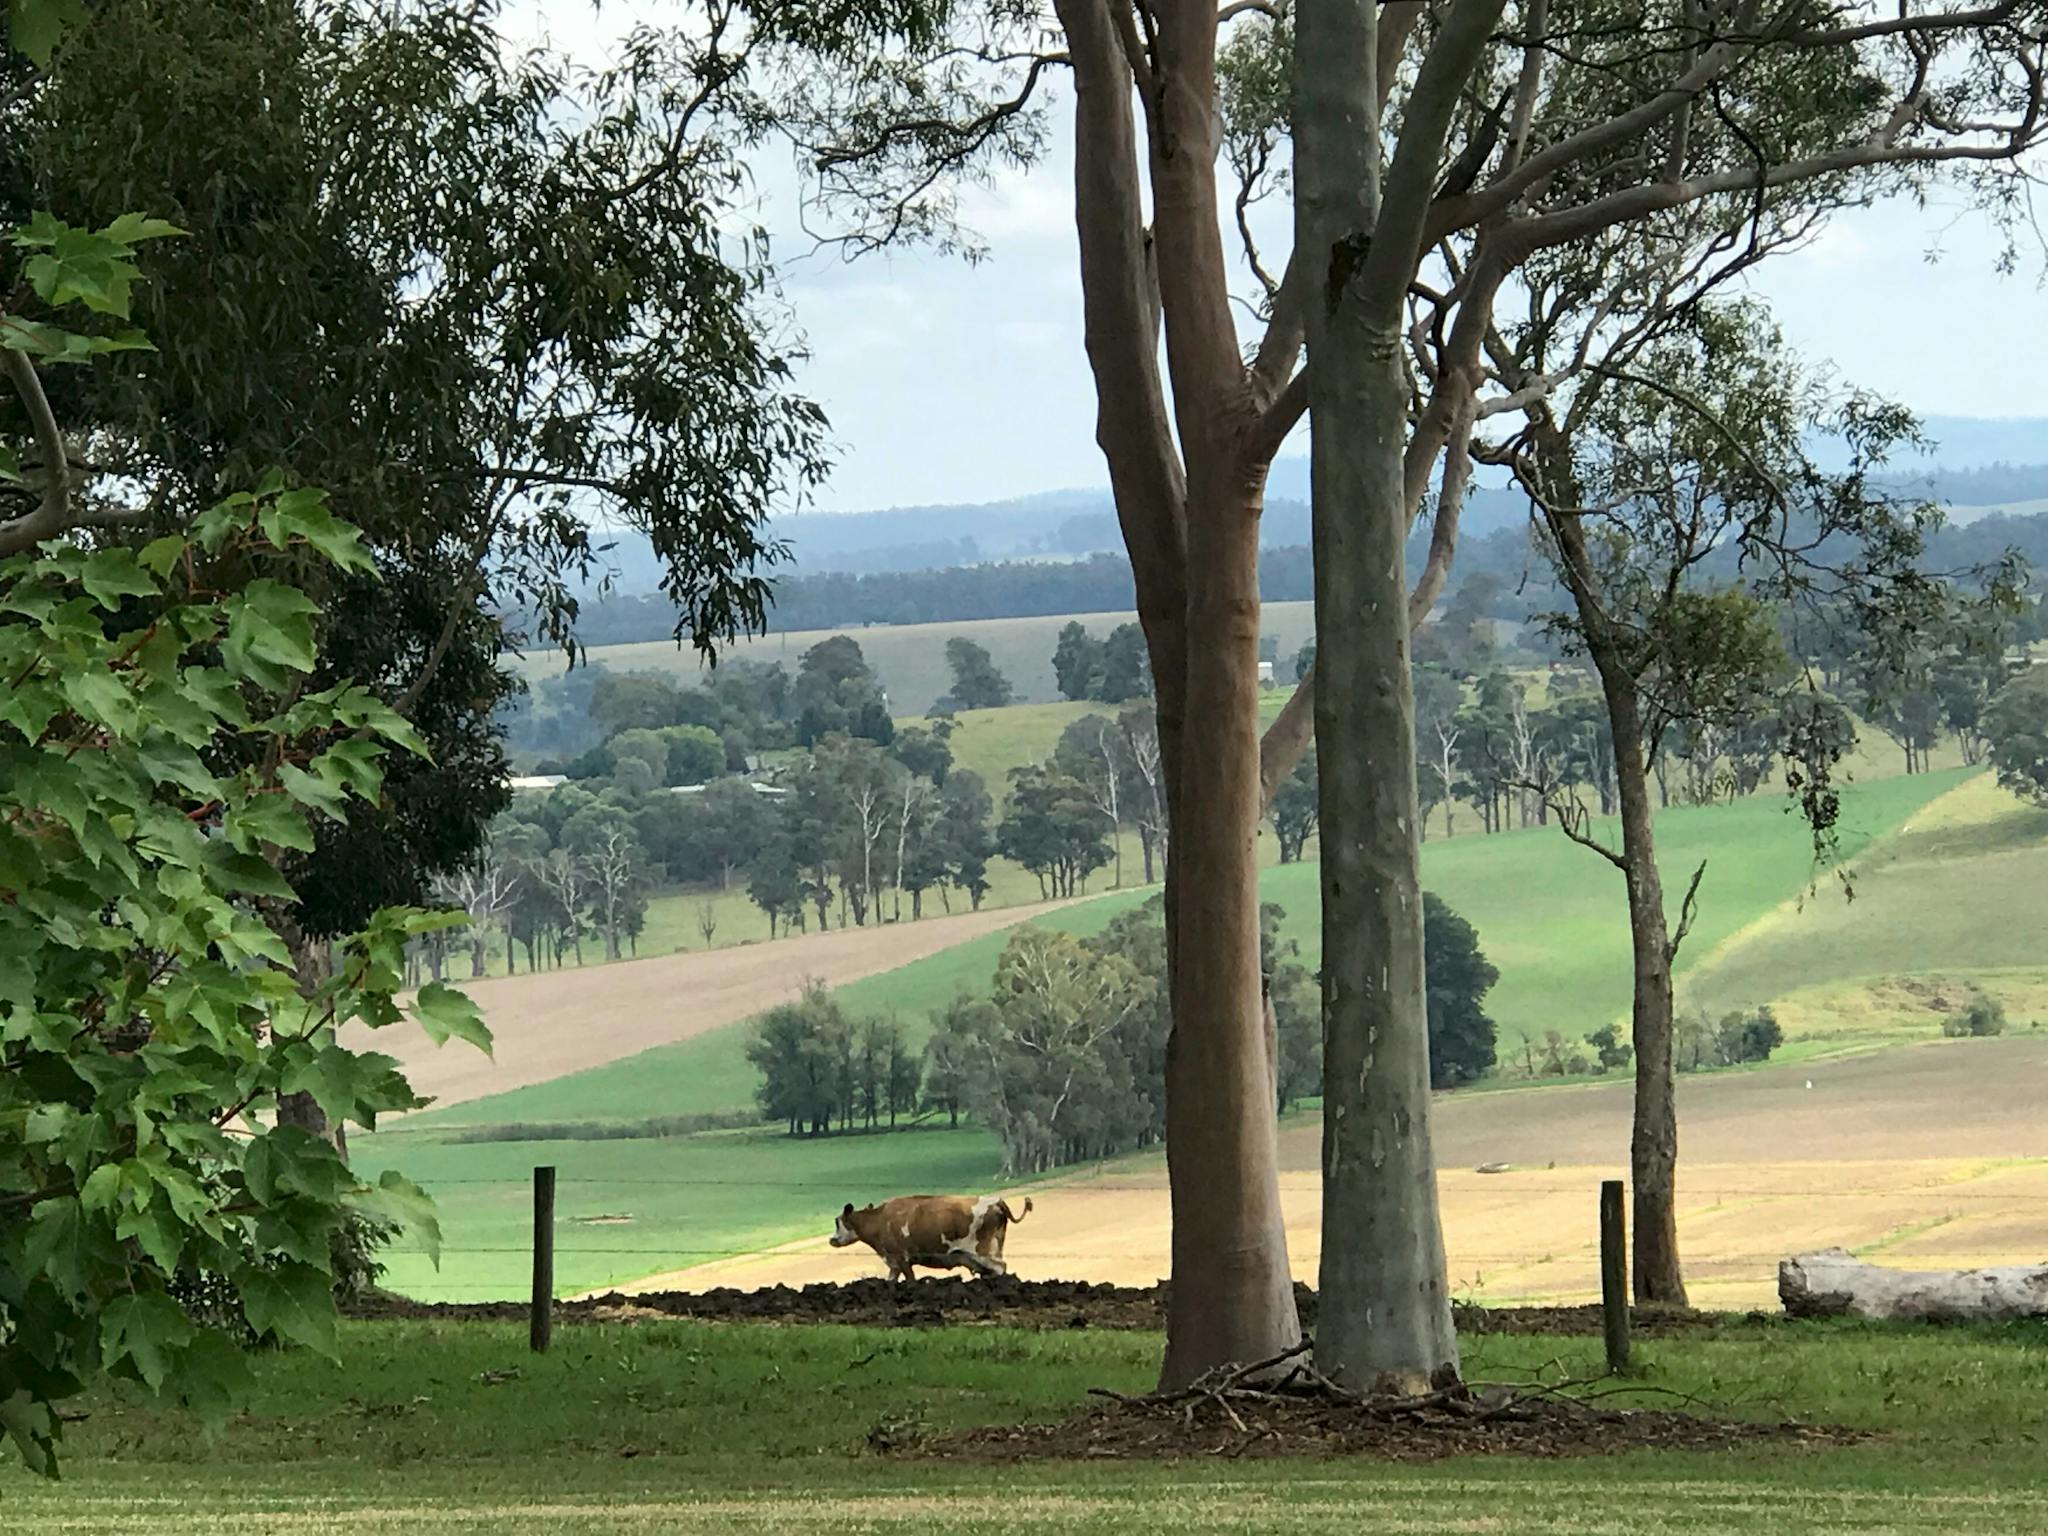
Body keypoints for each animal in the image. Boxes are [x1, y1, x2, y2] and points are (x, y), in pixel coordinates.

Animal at [830, 1193, 1033, 1282]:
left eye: (837, 1222)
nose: (831, 1239)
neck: (880, 1219)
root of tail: (996, 1200)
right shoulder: (894, 1263)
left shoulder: (902, 1258)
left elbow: (911, 1279)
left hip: (982, 1251)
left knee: (1000, 1268)